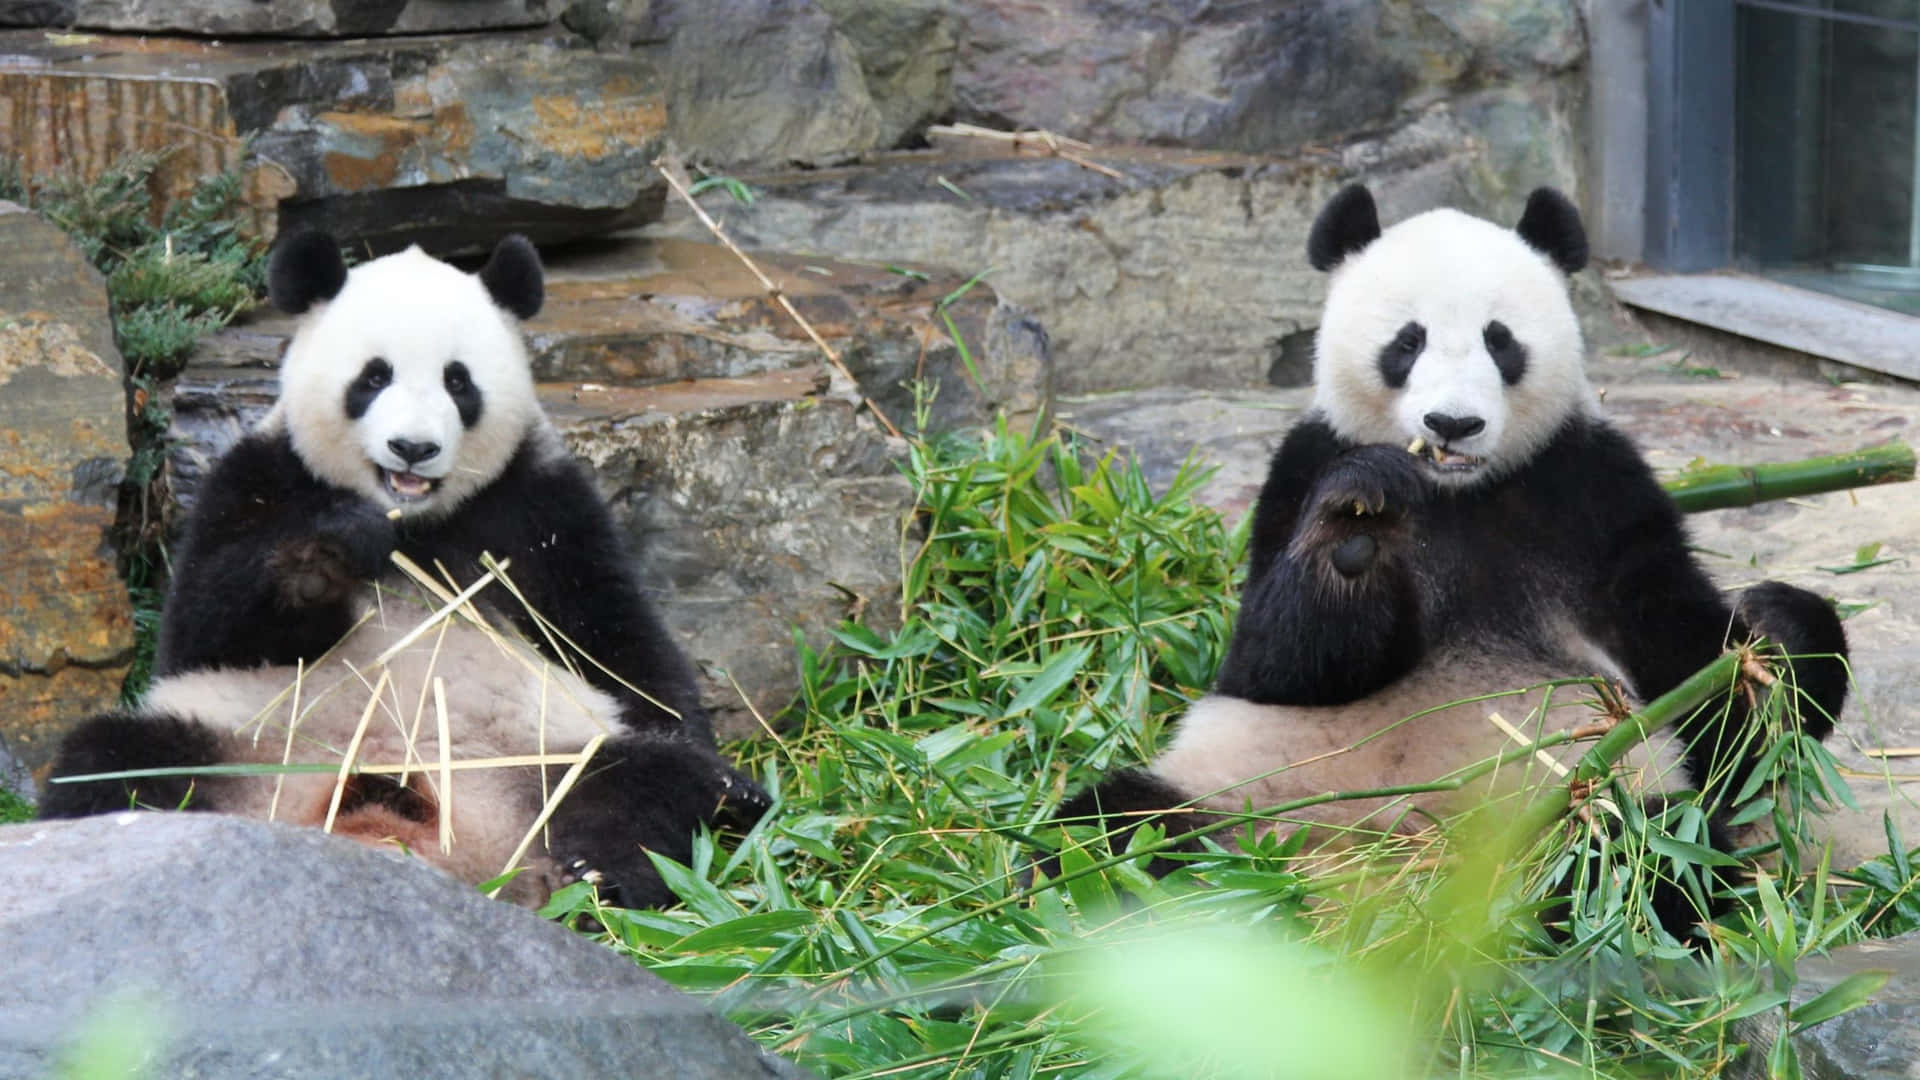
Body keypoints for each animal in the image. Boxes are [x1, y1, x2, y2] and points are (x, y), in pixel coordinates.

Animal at [46, 228, 764, 907]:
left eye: (458, 381)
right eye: (373, 377)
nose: (412, 448)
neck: (414, 522)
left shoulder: (541, 509)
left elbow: (620, 650)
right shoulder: (255, 481)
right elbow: (206, 627)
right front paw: (321, 561)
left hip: (542, 763)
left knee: (643, 783)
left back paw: (593, 879)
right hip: (236, 749)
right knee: (115, 762)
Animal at [1059, 184, 1850, 933]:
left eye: (1500, 341)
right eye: (1407, 343)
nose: (1452, 423)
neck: (1455, 494)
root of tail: (1383, 870)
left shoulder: (1596, 492)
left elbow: (1698, 684)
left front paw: (1778, 635)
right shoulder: (1299, 469)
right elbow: (1275, 661)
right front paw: (1356, 527)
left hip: (1594, 790)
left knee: (1643, 856)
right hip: (1241, 789)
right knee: (1112, 833)